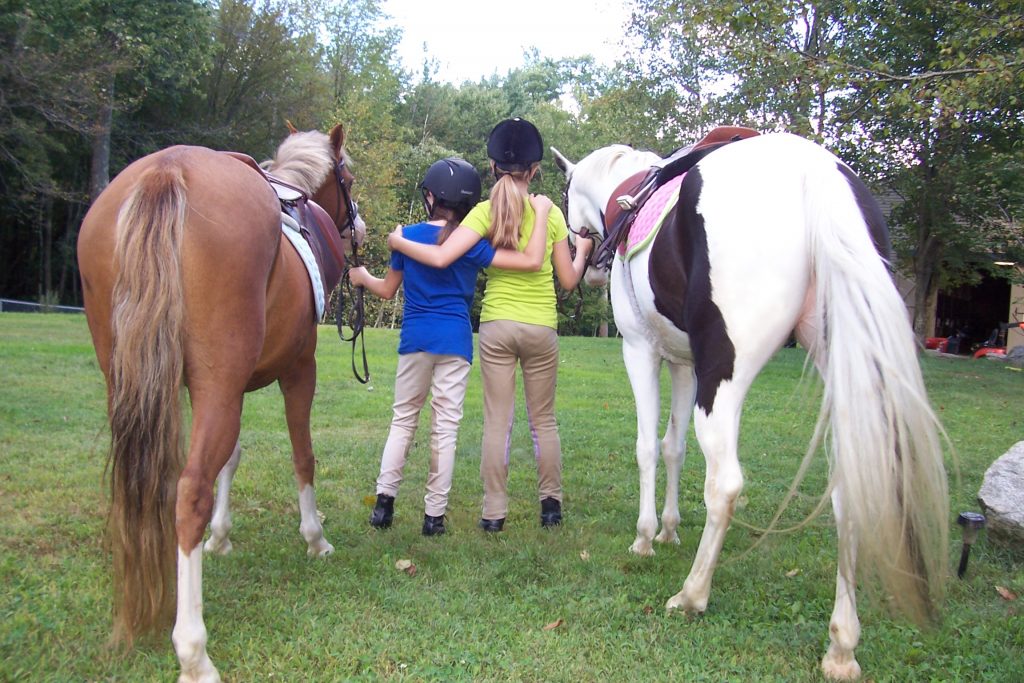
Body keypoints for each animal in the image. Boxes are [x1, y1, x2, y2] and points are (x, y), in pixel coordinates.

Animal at [77, 124, 362, 683]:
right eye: (348, 178)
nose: (357, 224)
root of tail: (167, 169)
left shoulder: (230, 384)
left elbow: (230, 459)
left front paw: (221, 537)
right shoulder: (298, 369)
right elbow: (302, 455)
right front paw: (314, 538)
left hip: (130, 379)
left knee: (139, 483)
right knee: (188, 491)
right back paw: (192, 650)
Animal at [557, 132, 946, 679]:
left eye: (567, 199)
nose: (585, 265)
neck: (630, 196)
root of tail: (814, 171)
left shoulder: (642, 352)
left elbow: (649, 448)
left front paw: (646, 537)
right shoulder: (685, 365)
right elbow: (674, 448)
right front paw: (670, 531)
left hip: (726, 379)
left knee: (725, 484)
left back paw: (692, 594)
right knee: (849, 492)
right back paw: (841, 645)